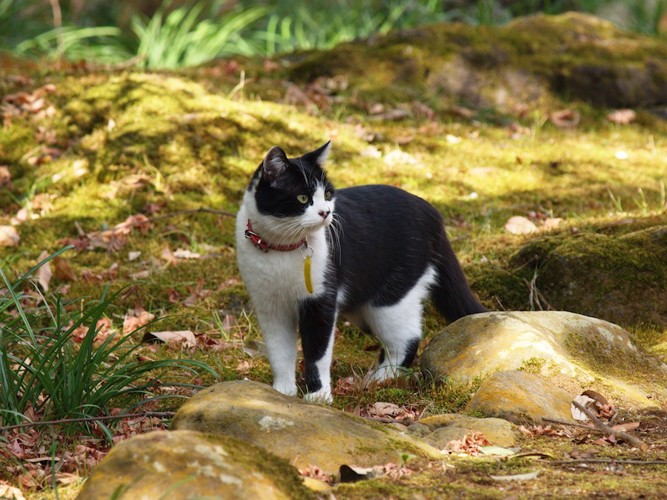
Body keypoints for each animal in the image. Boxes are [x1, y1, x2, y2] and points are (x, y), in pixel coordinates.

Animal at [237, 141, 488, 402]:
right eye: (303, 197)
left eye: (327, 195)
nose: (326, 212)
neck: (283, 250)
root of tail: (432, 212)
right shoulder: (270, 307)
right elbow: (279, 352)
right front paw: (281, 392)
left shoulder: (321, 302)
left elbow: (317, 352)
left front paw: (318, 395)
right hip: (362, 307)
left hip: (390, 301)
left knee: (407, 337)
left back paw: (380, 378)